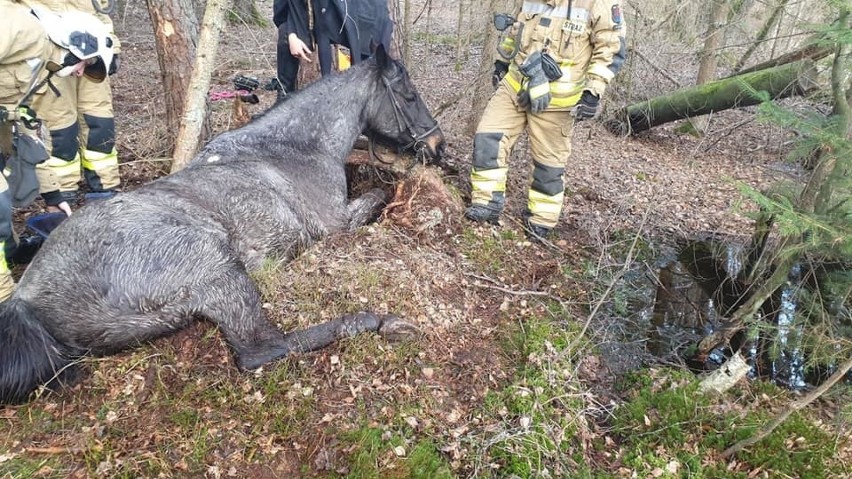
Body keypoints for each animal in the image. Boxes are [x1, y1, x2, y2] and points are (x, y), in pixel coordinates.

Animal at [0, 47, 442, 404]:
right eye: (408, 95)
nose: (439, 145)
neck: (297, 147)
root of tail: (28, 300)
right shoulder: (336, 223)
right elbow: (377, 197)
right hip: (218, 269)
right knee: (262, 349)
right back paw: (378, 321)